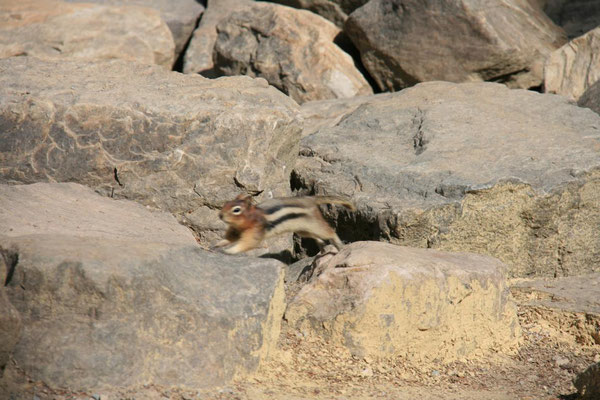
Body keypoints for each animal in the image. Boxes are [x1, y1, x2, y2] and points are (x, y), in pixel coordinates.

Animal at [217, 194, 354, 253]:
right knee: (315, 236)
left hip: (314, 224)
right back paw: (321, 246)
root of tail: (310, 199)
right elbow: (230, 238)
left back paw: (340, 246)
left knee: (329, 232)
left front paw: (229, 251)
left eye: (236, 210)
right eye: (226, 203)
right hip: (303, 230)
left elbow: (247, 243)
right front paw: (218, 244)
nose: (220, 215)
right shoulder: (236, 230)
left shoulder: (255, 231)